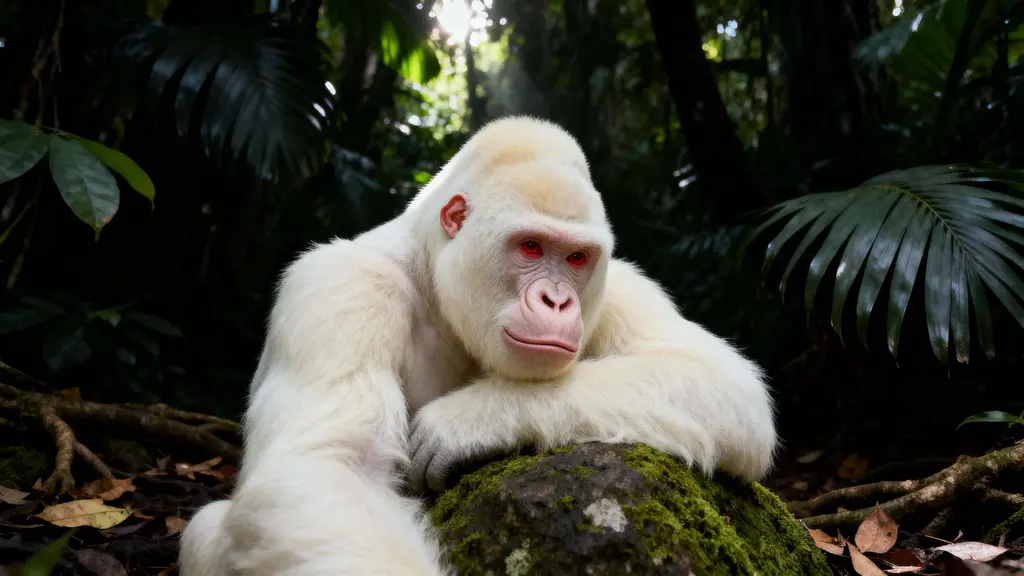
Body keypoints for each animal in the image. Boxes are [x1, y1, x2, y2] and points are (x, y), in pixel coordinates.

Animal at [178, 116, 777, 576]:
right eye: (530, 246)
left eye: (576, 258)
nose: (557, 301)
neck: (431, 272)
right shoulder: (343, 286)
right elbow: (326, 467)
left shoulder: (618, 286)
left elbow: (721, 382)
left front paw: (471, 418)